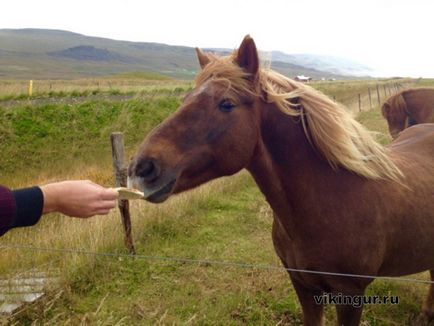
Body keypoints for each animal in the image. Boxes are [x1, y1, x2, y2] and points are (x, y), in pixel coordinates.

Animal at [130, 36, 434, 326]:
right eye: (185, 100)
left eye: (226, 103)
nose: (141, 167)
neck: (331, 200)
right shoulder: (302, 285)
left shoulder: (350, 295)